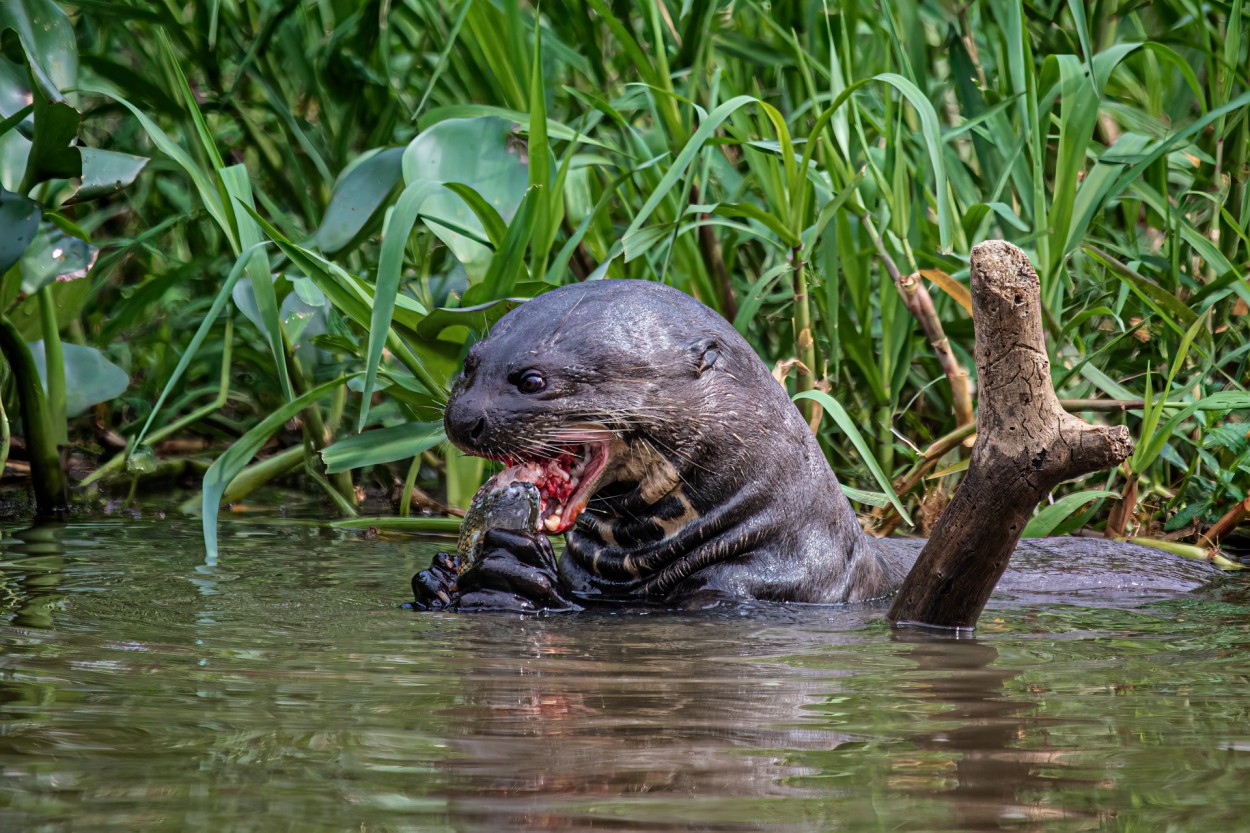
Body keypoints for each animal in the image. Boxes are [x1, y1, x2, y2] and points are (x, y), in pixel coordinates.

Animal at [415, 278, 1215, 610]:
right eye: (468, 366)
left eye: (532, 379)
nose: (465, 420)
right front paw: (442, 579)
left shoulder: (754, 592)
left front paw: (512, 577)